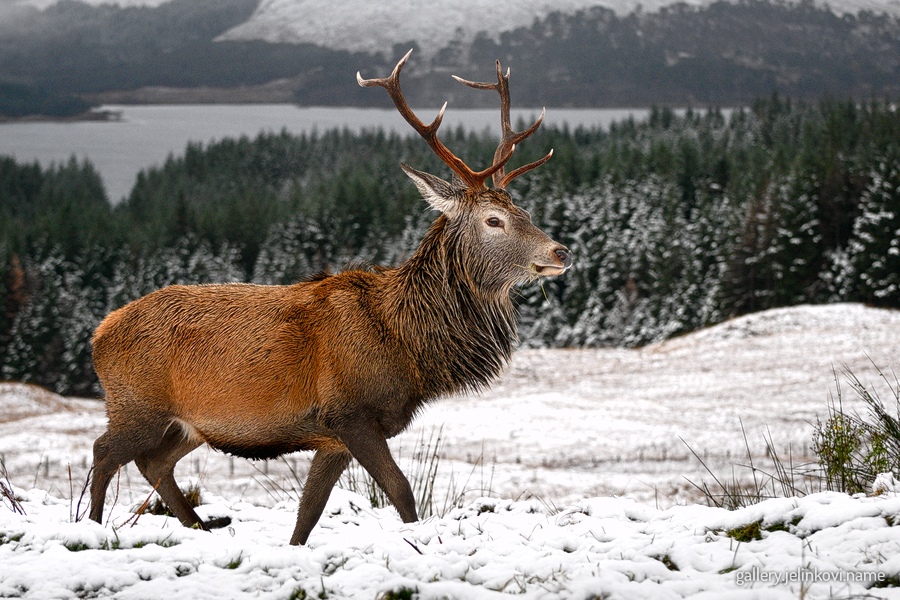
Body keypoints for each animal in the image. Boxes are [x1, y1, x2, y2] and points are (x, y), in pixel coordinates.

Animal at [88, 50, 572, 545]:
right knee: (104, 451)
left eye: (525, 211)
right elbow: (401, 491)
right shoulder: (350, 413)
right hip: (136, 403)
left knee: (153, 461)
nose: (561, 252)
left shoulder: (331, 438)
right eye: (494, 220)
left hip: (186, 424)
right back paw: (90, 528)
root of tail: (100, 332)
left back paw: (198, 527)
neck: (407, 346)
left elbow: (308, 512)